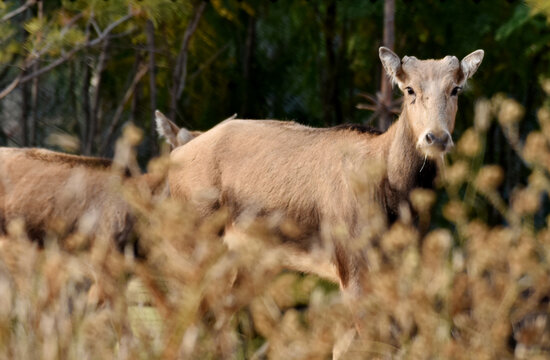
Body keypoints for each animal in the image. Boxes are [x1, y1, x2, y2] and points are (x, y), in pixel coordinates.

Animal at [162, 47, 486, 300]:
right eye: (409, 89)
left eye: (455, 88)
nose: (436, 137)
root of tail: (174, 157)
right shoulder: (352, 265)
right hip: (190, 247)